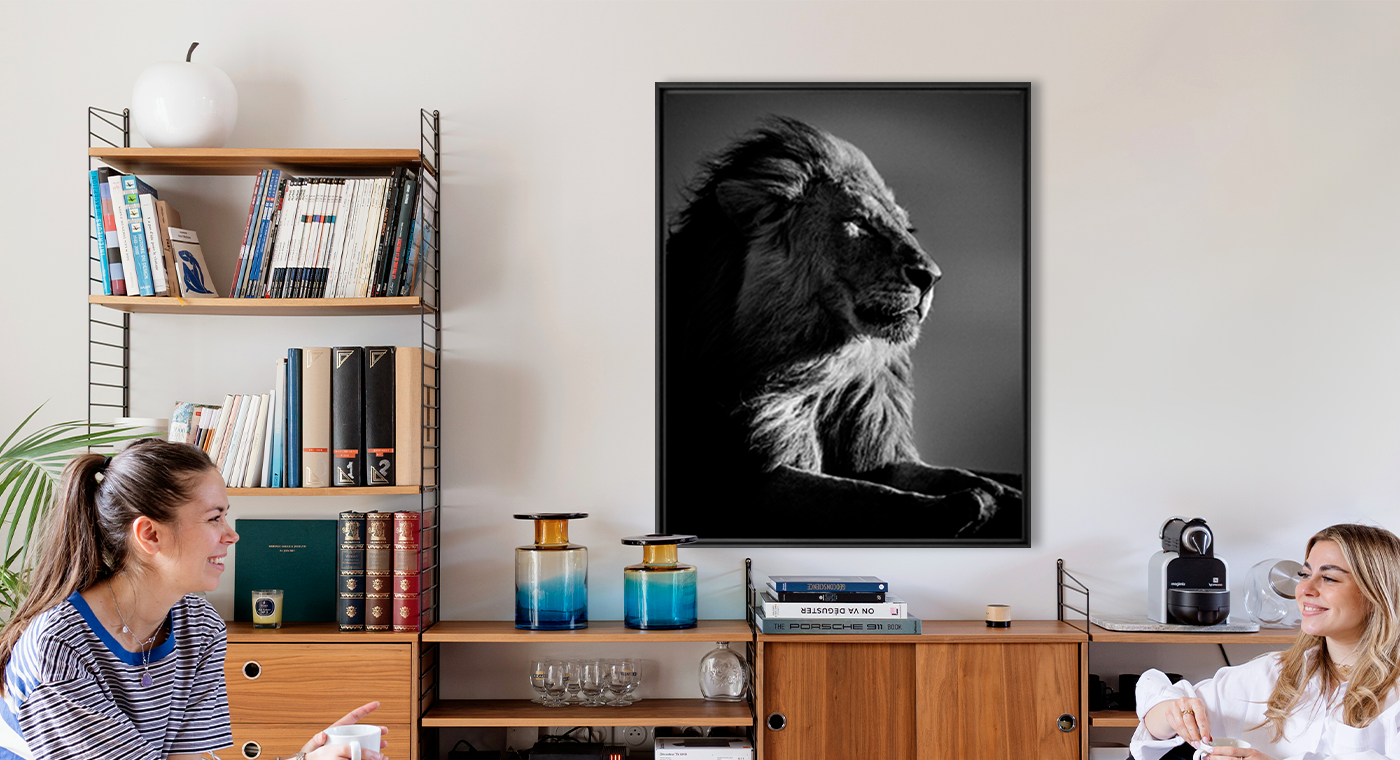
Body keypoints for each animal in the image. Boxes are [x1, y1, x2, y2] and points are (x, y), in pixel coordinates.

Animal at [662, 116, 1022, 540]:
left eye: (907, 228)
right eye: (860, 223)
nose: (931, 276)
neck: (821, 370)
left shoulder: (871, 449)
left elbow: (942, 474)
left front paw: (1000, 493)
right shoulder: (740, 471)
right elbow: (864, 497)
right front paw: (964, 505)